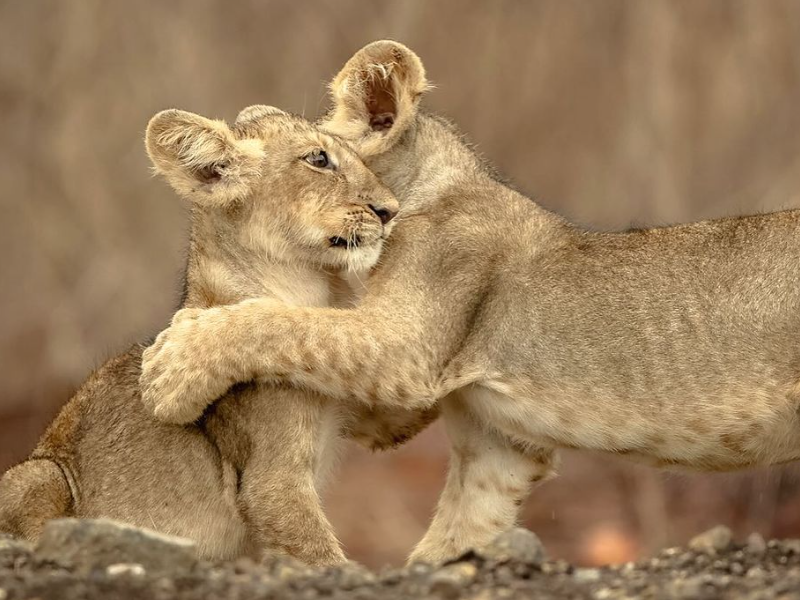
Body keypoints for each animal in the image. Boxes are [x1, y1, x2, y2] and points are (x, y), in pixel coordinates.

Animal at [0, 104, 437, 565]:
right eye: (318, 159)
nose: (390, 210)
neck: (313, 291)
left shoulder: (371, 411)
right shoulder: (271, 479)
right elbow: (317, 552)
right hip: (39, 473)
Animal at [140, 41, 800, 564]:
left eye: (323, 154)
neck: (433, 187)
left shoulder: (404, 349)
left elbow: (286, 322)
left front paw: (170, 369)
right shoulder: (498, 446)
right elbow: (455, 532)